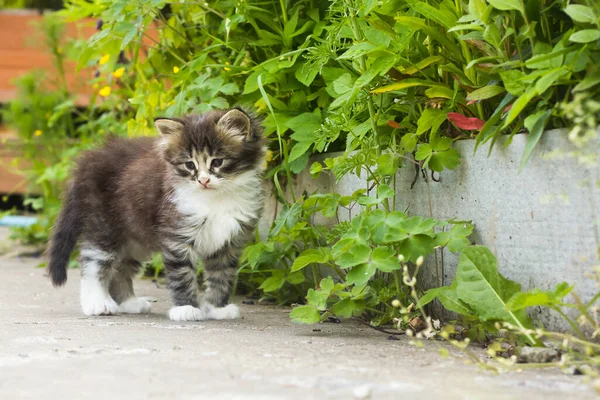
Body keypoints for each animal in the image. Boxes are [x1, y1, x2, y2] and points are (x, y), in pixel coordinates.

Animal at [44, 108, 264, 320]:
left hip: (135, 238)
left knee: (120, 269)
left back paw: (129, 303)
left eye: (217, 162)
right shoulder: (177, 235)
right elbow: (182, 275)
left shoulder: (229, 243)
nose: (203, 181)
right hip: (103, 226)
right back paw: (97, 303)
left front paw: (218, 308)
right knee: (93, 264)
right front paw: (186, 308)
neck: (216, 199)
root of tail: (89, 158)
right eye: (189, 164)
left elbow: (222, 275)